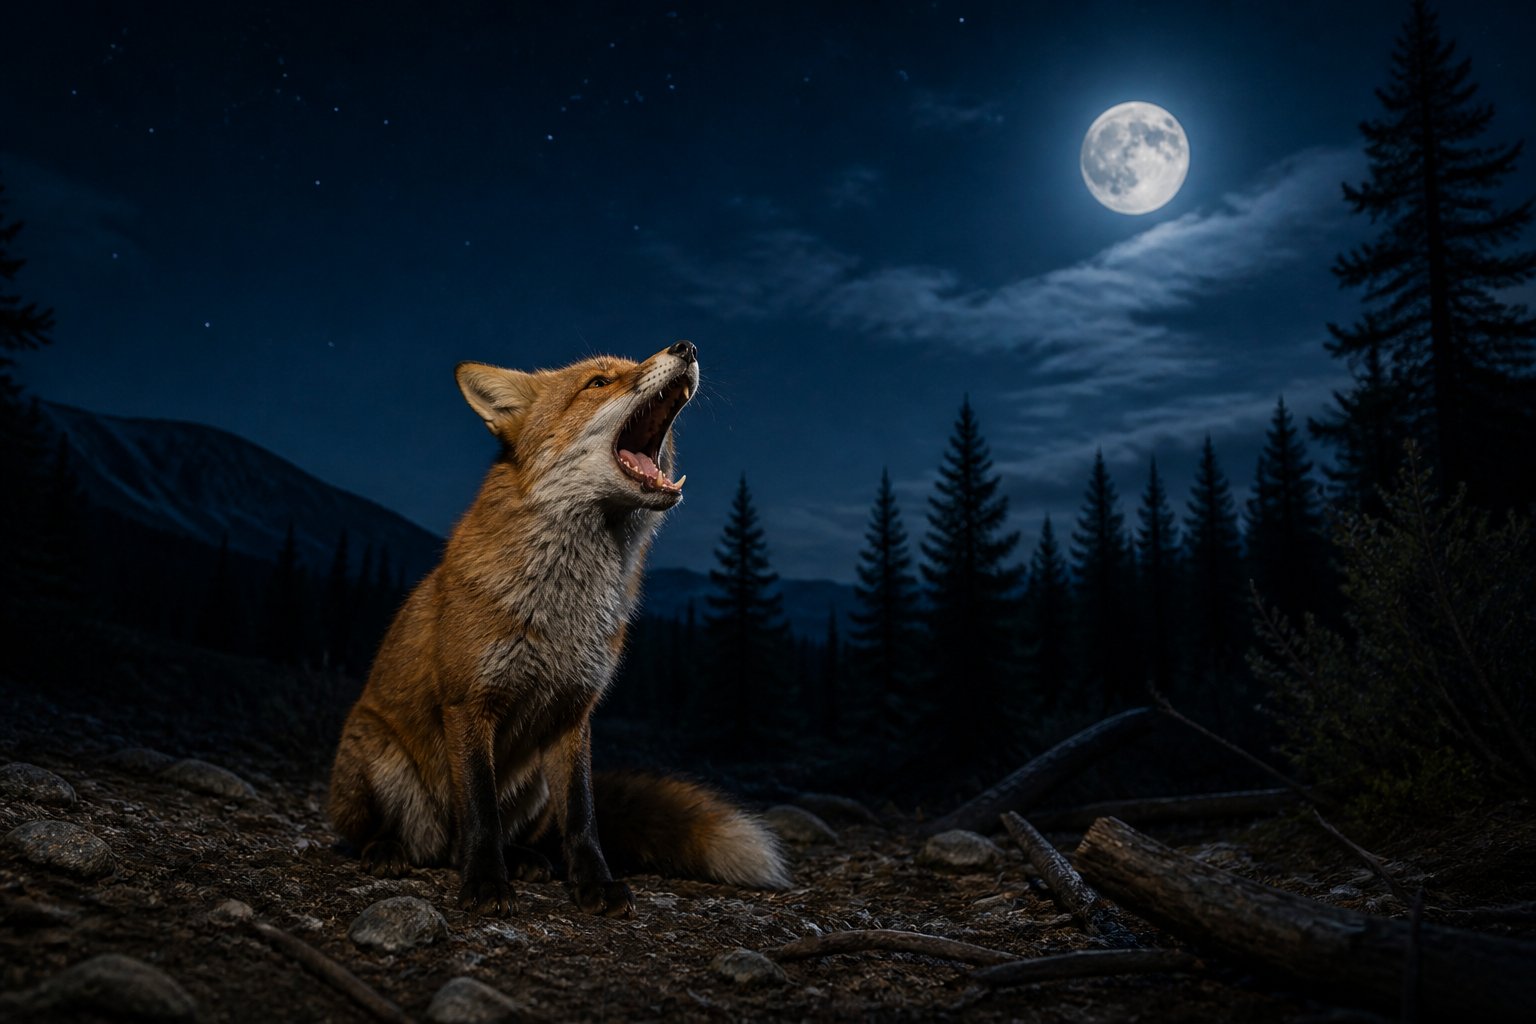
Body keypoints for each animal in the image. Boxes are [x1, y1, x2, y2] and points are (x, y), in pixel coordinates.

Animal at [327, 341, 789, 917]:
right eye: (598, 383)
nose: (685, 347)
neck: (564, 608)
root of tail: (437, 847)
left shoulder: (574, 711)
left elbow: (583, 817)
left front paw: (593, 883)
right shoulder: (469, 701)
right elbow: (479, 810)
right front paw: (485, 881)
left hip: (534, 788)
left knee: (530, 831)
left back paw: (525, 859)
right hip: (374, 756)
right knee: (375, 832)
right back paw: (387, 848)